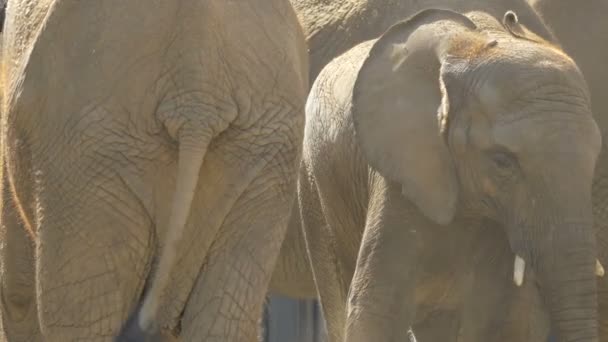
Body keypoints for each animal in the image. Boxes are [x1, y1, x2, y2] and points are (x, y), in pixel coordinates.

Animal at [0, 0, 308, 342]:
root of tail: (196, 96)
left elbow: (17, 293)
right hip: (265, 147)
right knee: (223, 316)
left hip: (86, 150)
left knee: (80, 315)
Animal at [294, 7, 600, 342]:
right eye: (502, 161)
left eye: (595, 158)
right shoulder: (403, 171)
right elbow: (376, 311)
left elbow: (510, 320)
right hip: (313, 185)